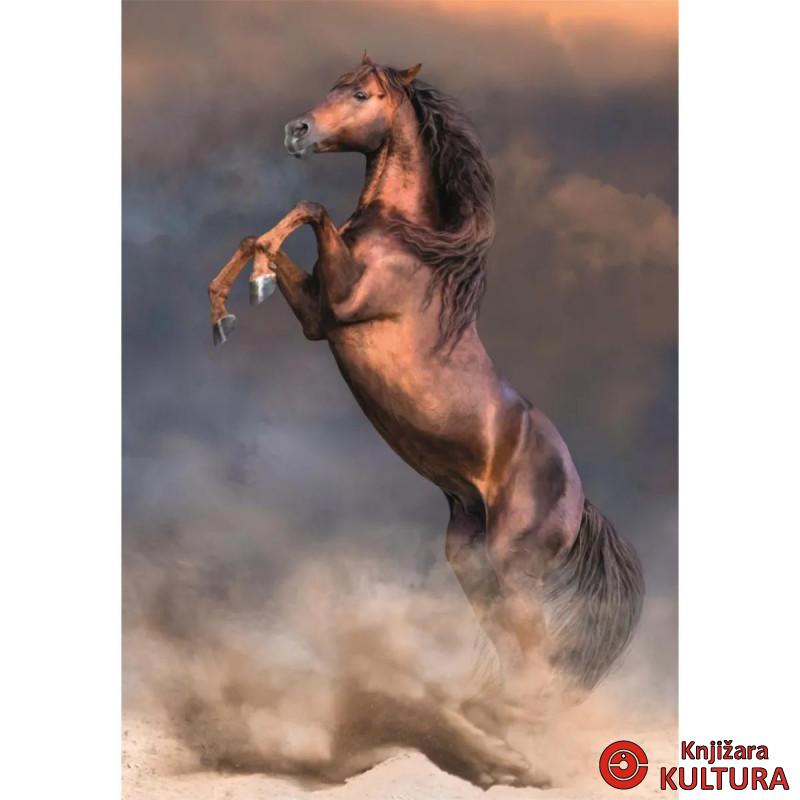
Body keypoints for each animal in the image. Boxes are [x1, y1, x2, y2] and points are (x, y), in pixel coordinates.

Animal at [207, 53, 643, 786]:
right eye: (332, 85)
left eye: (361, 94)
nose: (297, 131)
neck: (405, 243)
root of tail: (580, 501)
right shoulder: (319, 316)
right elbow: (263, 234)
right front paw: (228, 306)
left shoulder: (341, 301)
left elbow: (310, 207)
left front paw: (250, 287)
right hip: (471, 560)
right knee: (517, 657)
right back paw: (494, 735)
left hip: (513, 565)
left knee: (536, 658)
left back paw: (513, 746)